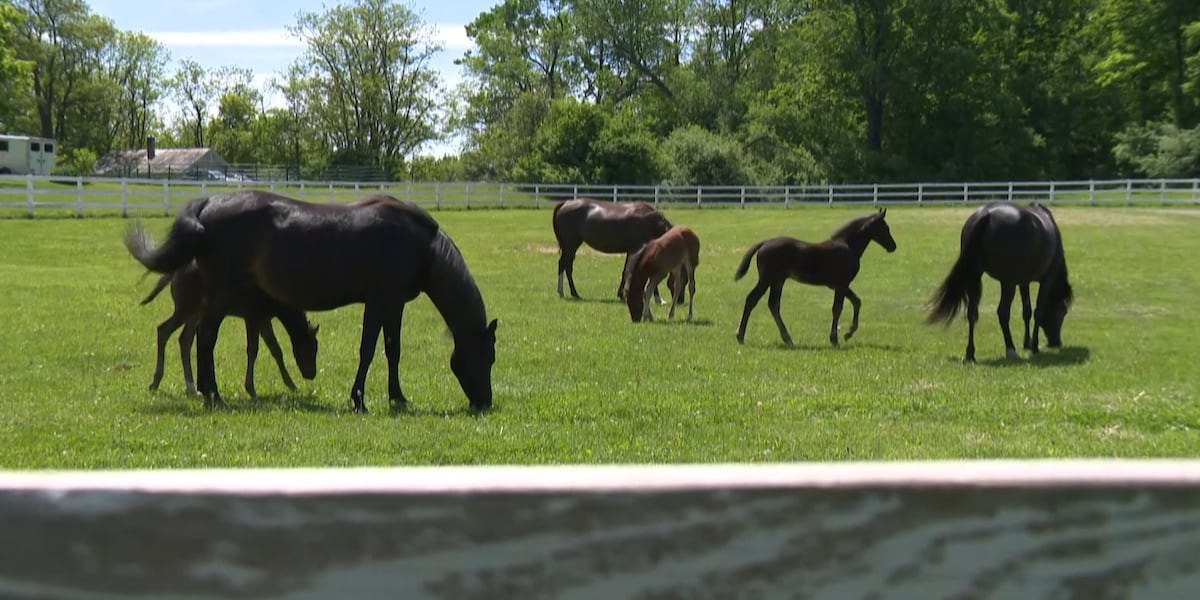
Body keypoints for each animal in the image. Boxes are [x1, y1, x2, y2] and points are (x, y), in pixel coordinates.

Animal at [140, 262, 319, 398]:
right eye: (311, 348)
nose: (311, 374)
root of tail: (174, 272)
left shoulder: (264, 319)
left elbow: (276, 350)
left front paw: (291, 384)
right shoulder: (252, 316)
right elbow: (253, 350)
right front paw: (251, 389)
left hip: (195, 311)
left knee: (184, 339)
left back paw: (191, 387)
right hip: (185, 307)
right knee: (163, 330)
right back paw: (156, 381)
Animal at [551, 197, 679, 301]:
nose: (680, 301)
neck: (650, 222)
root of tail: (565, 203)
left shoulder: (631, 251)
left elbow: (625, 271)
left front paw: (621, 294)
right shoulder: (637, 250)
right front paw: (658, 299)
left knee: (565, 265)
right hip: (571, 245)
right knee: (565, 265)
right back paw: (570, 292)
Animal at [734, 209, 897, 346]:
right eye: (885, 228)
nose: (893, 246)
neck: (848, 245)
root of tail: (764, 243)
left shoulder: (839, 285)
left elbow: (856, 302)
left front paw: (848, 334)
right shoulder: (841, 284)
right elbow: (837, 308)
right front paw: (835, 339)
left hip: (778, 281)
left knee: (773, 304)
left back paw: (788, 339)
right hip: (767, 279)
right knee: (752, 299)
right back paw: (740, 336)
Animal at [926, 201, 1073, 363]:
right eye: (1063, 312)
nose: (1056, 342)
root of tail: (985, 214)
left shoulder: (1024, 281)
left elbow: (1026, 311)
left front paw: (1026, 343)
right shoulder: (1046, 280)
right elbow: (1038, 310)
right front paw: (1033, 346)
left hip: (975, 276)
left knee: (972, 313)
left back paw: (970, 354)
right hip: (1007, 283)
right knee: (1002, 313)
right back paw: (1010, 349)